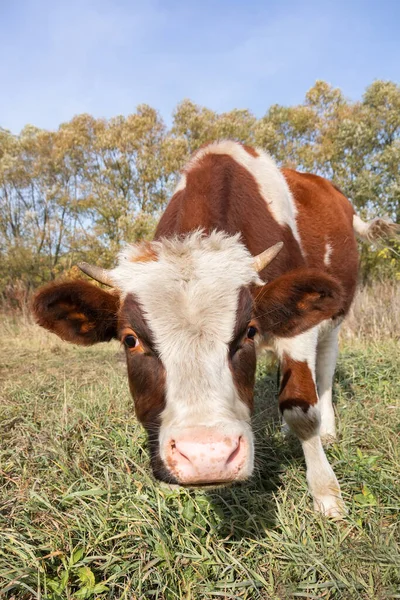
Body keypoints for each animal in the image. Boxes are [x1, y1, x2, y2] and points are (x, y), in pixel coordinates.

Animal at [32, 139, 398, 516]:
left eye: (248, 331)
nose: (207, 457)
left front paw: (326, 493)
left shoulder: (298, 333)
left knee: (323, 371)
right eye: (130, 340)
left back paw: (327, 427)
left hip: (334, 318)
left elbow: (301, 410)